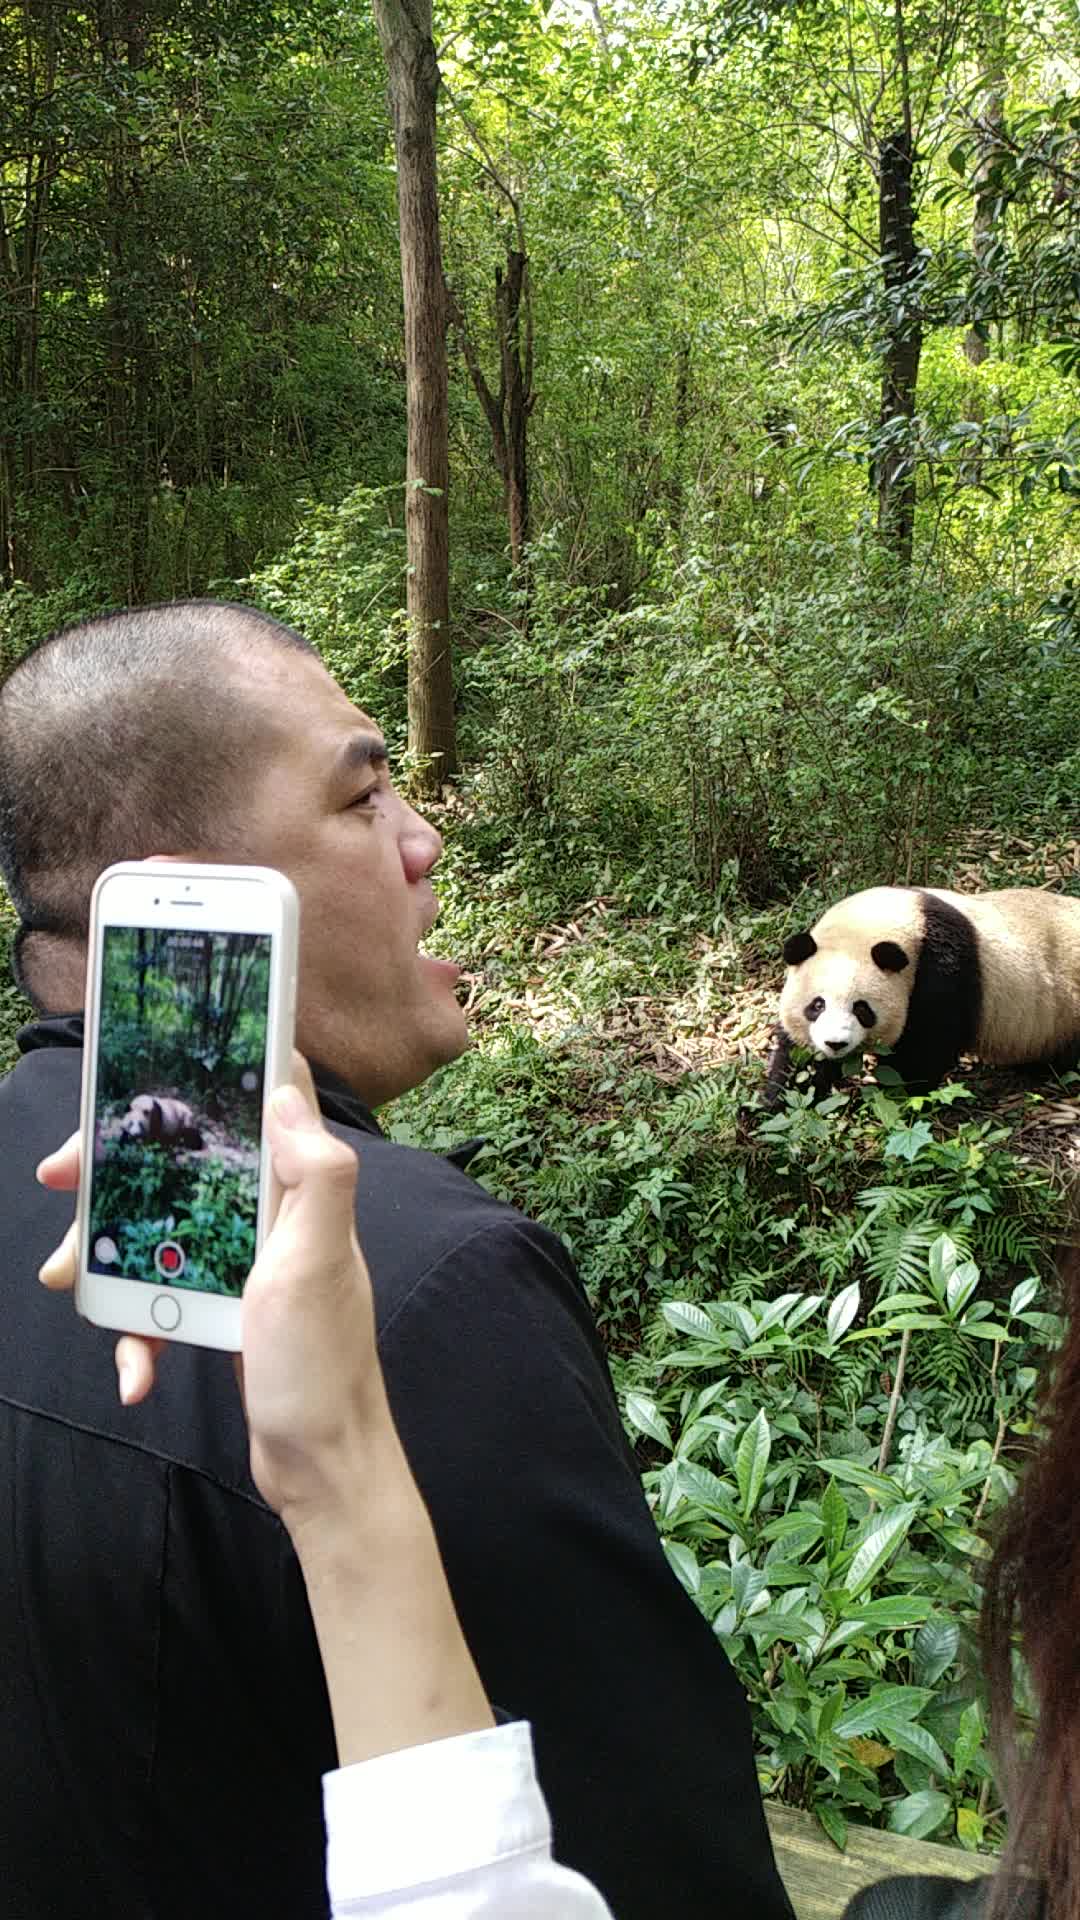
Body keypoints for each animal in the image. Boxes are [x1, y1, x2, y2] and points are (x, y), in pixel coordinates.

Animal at [760, 887, 1076, 1105]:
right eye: (817, 1005)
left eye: (862, 1009)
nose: (835, 1044)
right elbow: (799, 1057)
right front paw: (782, 1100)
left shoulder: (942, 969)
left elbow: (926, 1046)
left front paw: (889, 1092)